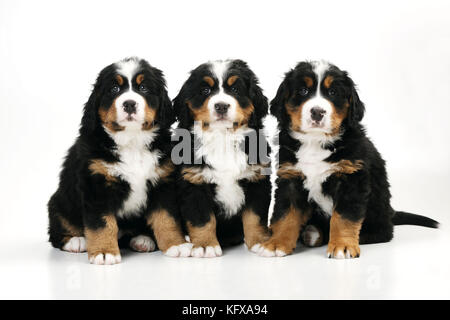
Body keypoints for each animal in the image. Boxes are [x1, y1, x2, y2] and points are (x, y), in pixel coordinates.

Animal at [48, 56, 192, 264]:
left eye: (144, 88)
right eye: (114, 89)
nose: (129, 103)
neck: (132, 142)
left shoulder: (162, 183)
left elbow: (167, 218)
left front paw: (176, 244)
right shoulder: (97, 185)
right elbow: (101, 224)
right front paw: (104, 252)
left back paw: (143, 239)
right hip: (59, 202)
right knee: (57, 230)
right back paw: (76, 241)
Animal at [172, 58, 270, 258]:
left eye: (235, 90)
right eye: (205, 91)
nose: (222, 106)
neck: (222, 138)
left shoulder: (257, 180)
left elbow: (254, 217)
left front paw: (259, 241)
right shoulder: (194, 183)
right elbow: (202, 219)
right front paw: (205, 245)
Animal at [260, 60, 440, 258]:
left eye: (333, 93)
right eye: (303, 91)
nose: (317, 112)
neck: (315, 141)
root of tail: (390, 213)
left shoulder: (351, 178)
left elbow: (343, 217)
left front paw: (343, 246)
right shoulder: (290, 177)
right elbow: (286, 215)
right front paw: (276, 243)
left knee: (384, 232)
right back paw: (311, 233)